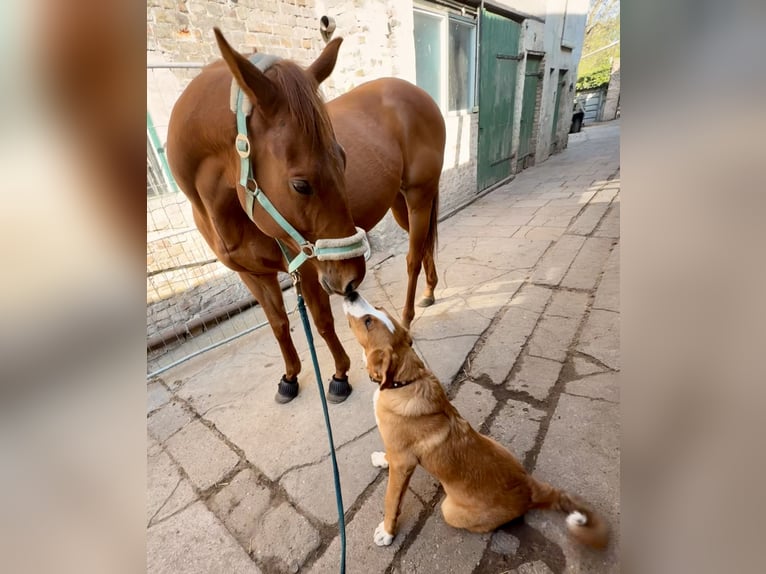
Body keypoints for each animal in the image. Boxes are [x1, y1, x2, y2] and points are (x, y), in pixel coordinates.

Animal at [166, 29, 445, 403]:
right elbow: (279, 324)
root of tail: (419, 94)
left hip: (418, 197)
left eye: (343, 158)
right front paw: (290, 376)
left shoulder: (309, 265)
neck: (222, 211)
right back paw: (429, 292)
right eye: (300, 184)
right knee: (425, 246)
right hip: (403, 204)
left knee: (413, 257)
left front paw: (340, 375)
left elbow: (321, 319)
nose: (352, 279)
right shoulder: (254, 275)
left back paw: (406, 316)